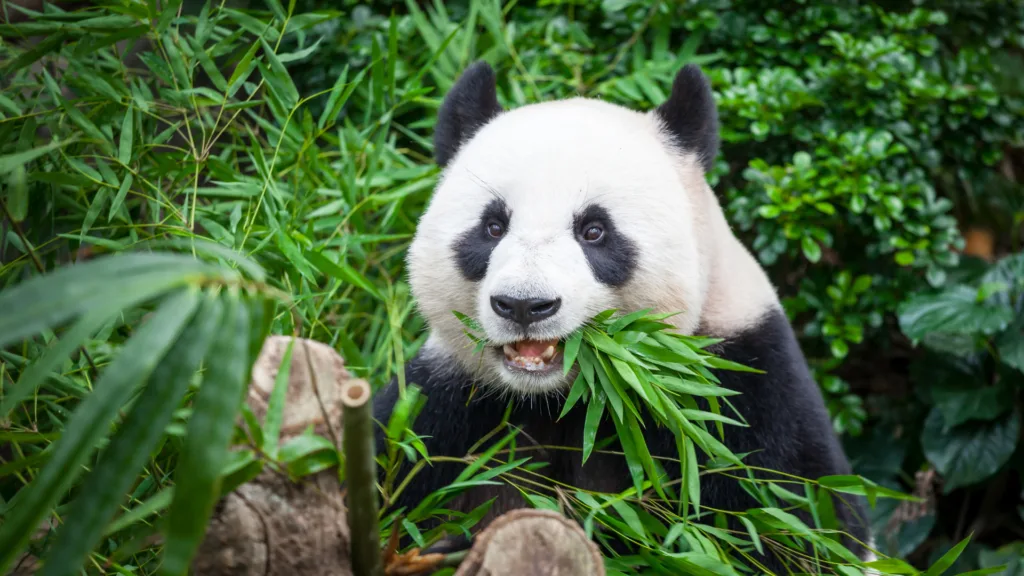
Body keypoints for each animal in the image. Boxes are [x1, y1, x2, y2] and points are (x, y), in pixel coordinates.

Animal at [372, 61, 875, 573]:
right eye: (492, 227)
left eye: (594, 230)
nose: (524, 305)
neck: (569, 398)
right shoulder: (446, 404)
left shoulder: (741, 391)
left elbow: (790, 526)